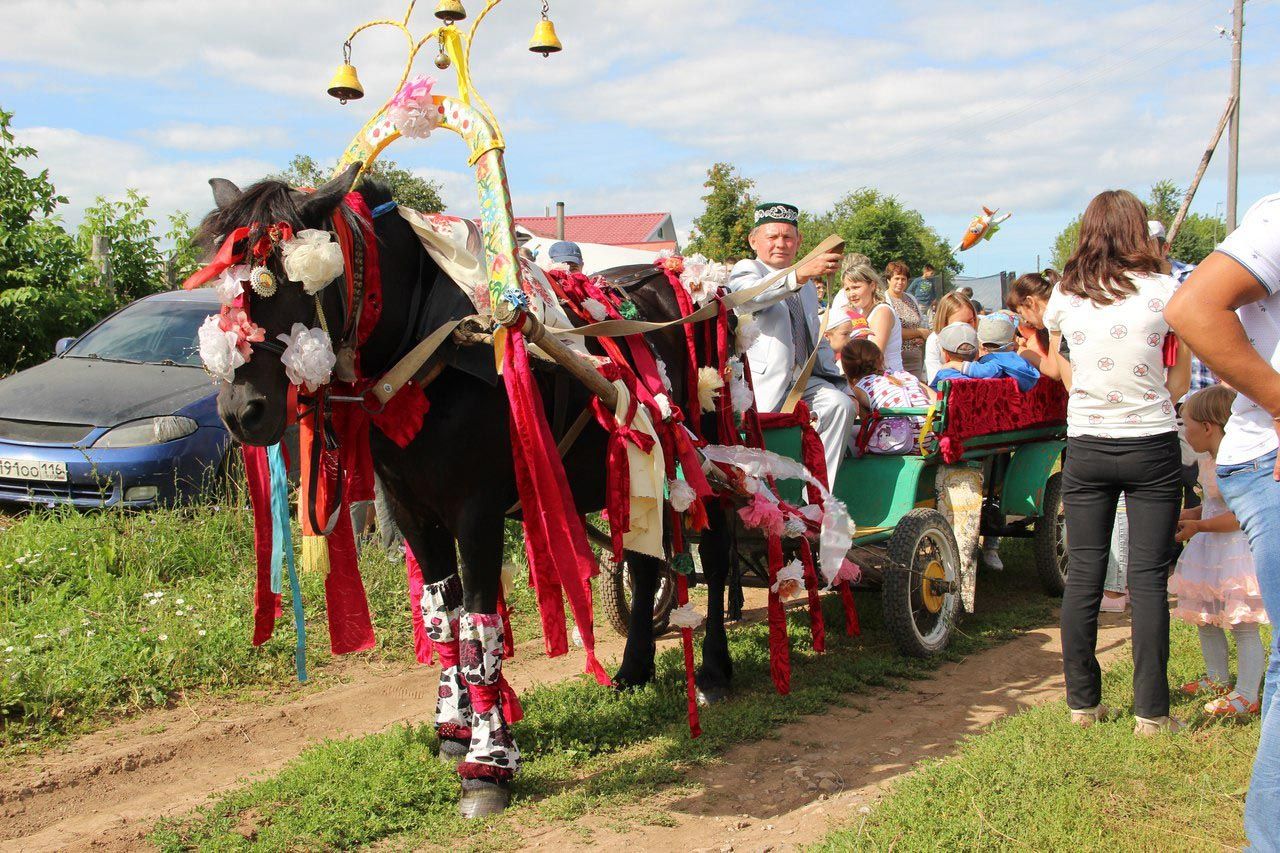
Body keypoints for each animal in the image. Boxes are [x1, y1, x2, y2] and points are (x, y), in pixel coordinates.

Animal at [200, 162, 742, 814]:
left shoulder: (476, 512)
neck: (431, 346)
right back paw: (634, 670)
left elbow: (479, 627)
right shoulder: (413, 512)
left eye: (277, 280)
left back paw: (714, 670)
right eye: (220, 285)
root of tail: (690, 282)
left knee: (716, 551)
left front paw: (488, 765)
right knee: (643, 562)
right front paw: (453, 732)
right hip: (639, 473)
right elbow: (444, 615)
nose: (241, 412)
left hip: (702, 456)